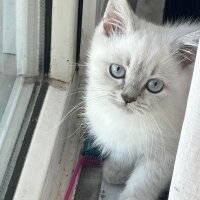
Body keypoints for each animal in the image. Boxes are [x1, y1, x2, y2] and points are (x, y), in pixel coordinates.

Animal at [85, 0, 200, 200]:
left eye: (154, 85)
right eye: (117, 70)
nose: (127, 98)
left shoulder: (164, 157)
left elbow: (141, 187)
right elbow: (124, 152)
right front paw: (116, 170)